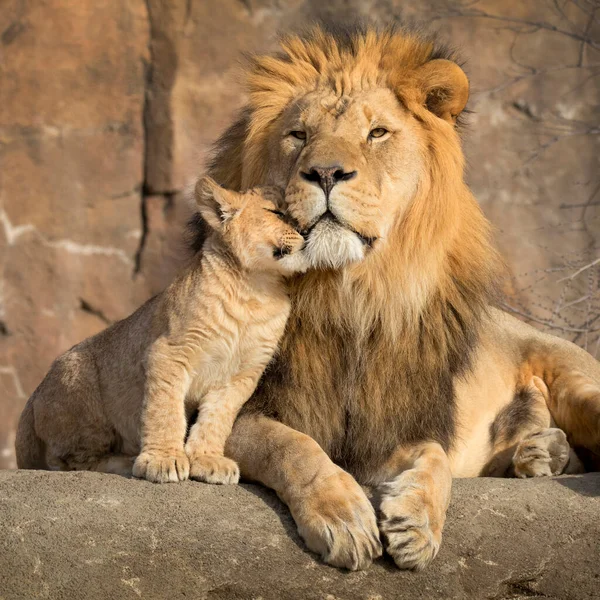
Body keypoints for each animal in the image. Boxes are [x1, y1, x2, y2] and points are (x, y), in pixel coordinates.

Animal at [204, 23, 596, 572]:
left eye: (376, 134)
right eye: (298, 135)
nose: (326, 173)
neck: (349, 296)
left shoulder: (395, 424)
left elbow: (434, 457)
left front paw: (417, 524)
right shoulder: (233, 409)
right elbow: (293, 446)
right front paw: (344, 517)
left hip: (575, 379)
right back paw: (539, 453)